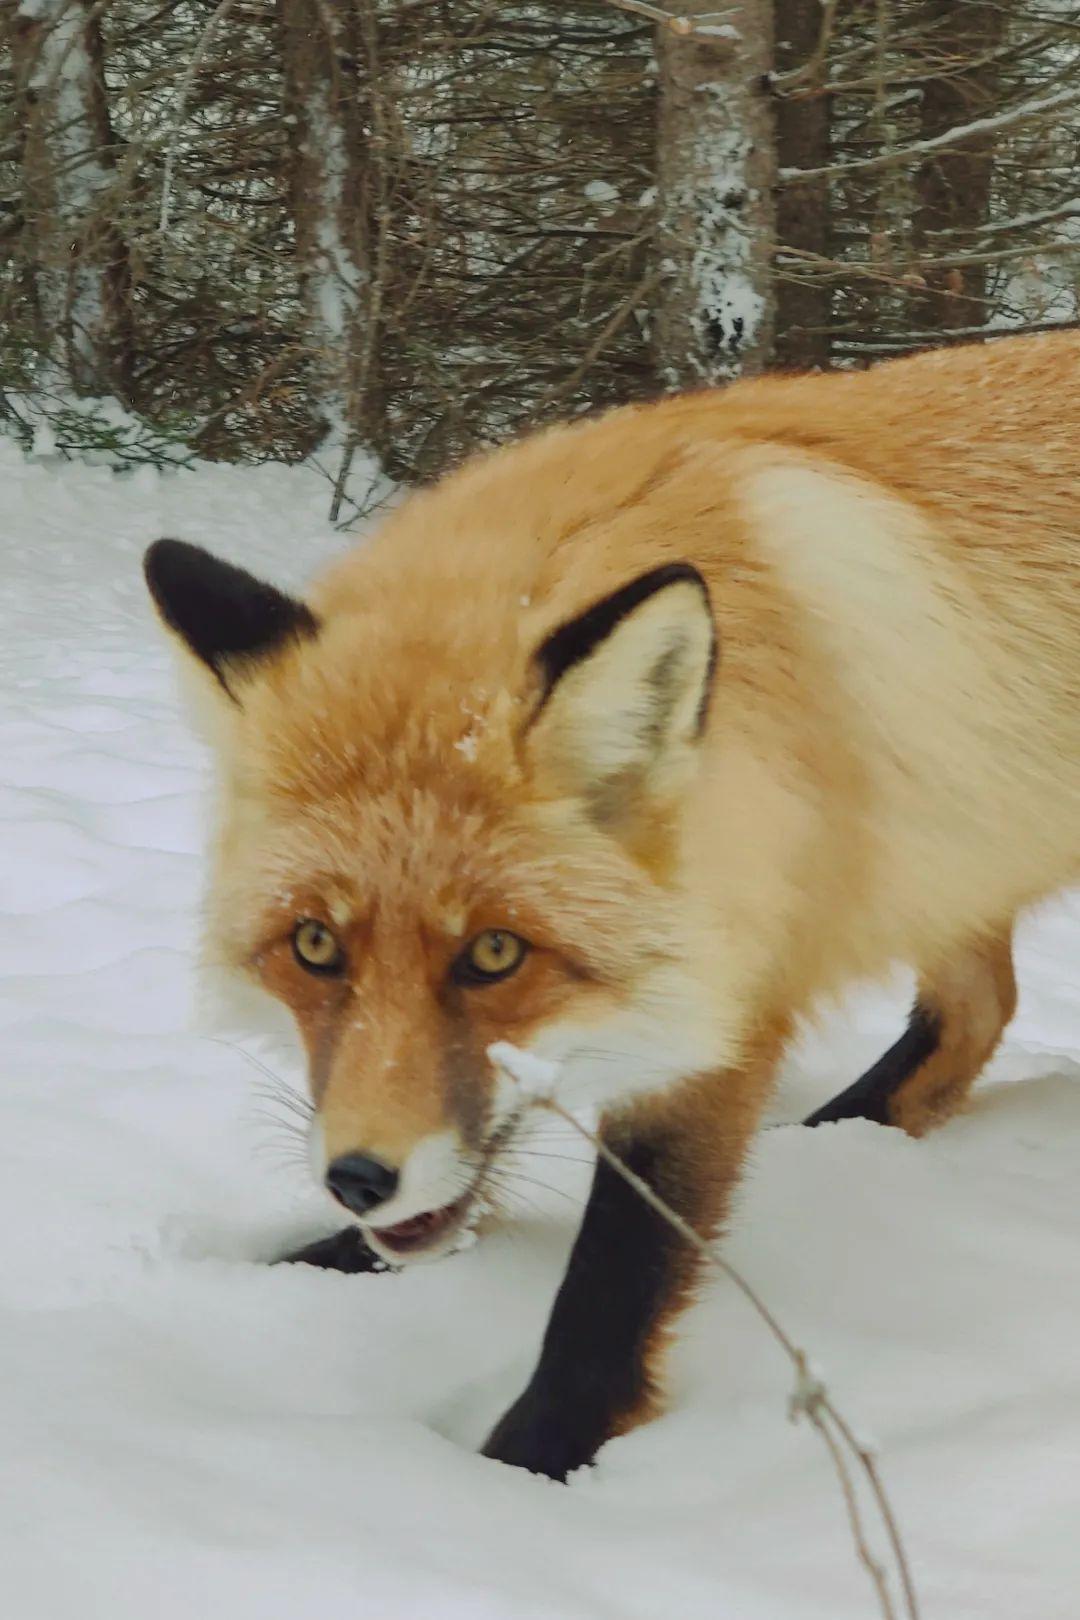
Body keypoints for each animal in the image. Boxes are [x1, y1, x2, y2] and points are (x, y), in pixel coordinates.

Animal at [148, 332, 1080, 1483]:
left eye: (495, 955)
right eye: (315, 944)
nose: (360, 1180)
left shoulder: (724, 1008)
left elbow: (616, 1275)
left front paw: (531, 1464)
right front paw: (311, 1266)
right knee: (977, 1010)